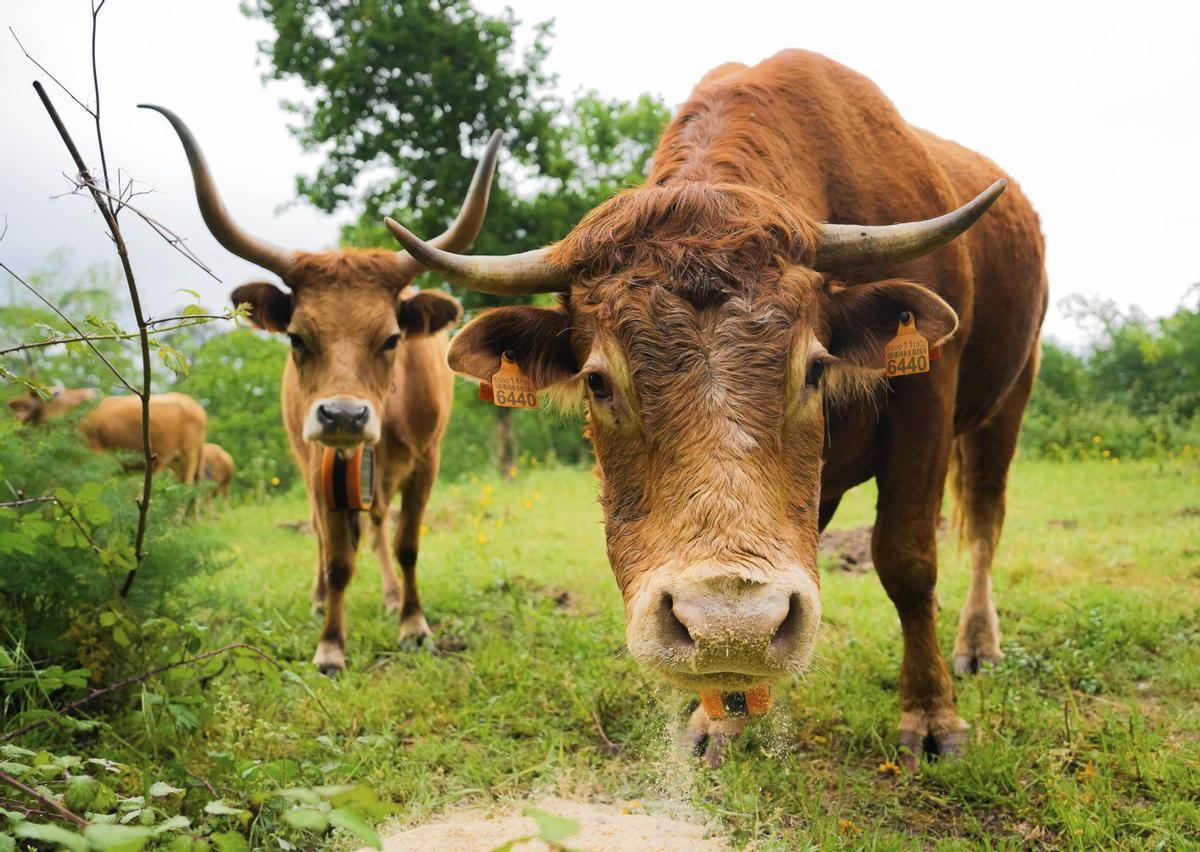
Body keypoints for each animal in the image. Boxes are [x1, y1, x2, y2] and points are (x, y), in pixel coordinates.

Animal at [145, 105, 498, 673]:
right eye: (296, 337)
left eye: (392, 338)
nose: (344, 416)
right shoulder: (321, 462)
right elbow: (335, 559)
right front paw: (331, 644)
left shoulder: (427, 460)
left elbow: (406, 544)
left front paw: (413, 623)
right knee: (325, 532)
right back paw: (319, 600)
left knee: (376, 525)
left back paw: (392, 596)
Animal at [386, 50, 1047, 767]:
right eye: (598, 383)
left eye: (816, 368)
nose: (730, 626)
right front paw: (723, 718)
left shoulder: (925, 404)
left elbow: (907, 559)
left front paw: (930, 714)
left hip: (1006, 403)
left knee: (983, 521)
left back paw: (977, 644)